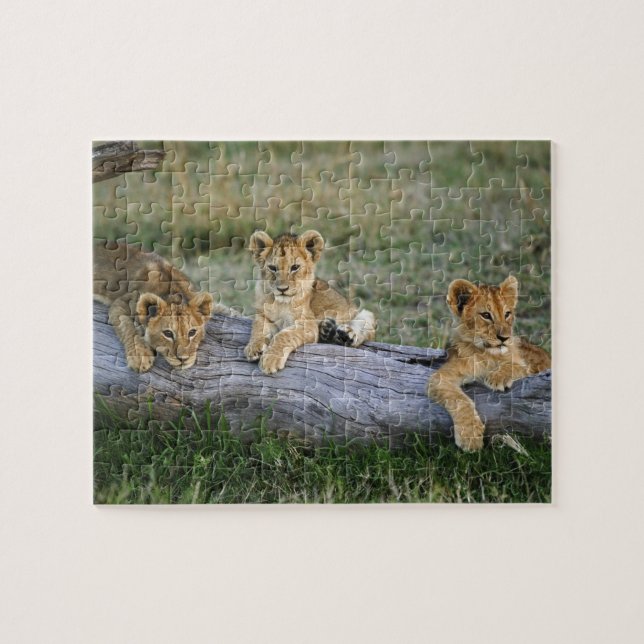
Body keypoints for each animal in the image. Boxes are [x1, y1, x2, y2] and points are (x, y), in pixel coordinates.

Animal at [93, 241, 228, 372]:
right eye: (168, 333)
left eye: (192, 332)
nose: (183, 359)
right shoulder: (121, 302)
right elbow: (127, 327)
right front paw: (140, 356)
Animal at [244, 230, 376, 374]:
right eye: (273, 268)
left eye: (295, 267)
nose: (282, 289)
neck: (281, 303)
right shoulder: (262, 314)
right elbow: (258, 328)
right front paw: (253, 347)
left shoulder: (308, 325)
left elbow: (284, 335)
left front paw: (270, 359)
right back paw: (327, 330)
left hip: (365, 314)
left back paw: (345, 335)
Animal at [427, 276, 550, 452]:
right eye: (486, 315)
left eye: (507, 314)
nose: (504, 337)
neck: (486, 354)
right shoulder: (440, 377)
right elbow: (459, 400)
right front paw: (470, 436)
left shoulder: (526, 366)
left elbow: (514, 366)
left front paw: (497, 378)